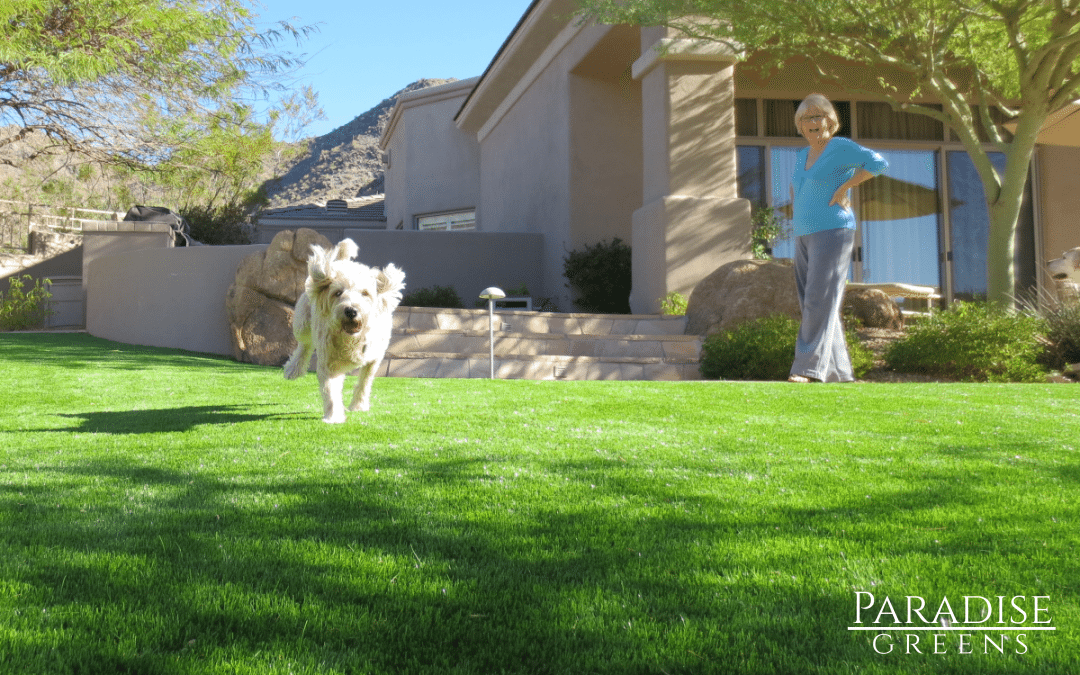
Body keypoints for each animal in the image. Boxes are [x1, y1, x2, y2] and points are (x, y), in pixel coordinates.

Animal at [282, 239, 406, 423]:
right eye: (338, 293)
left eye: (365, 293)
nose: (351, 311)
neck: (352, 338)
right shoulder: (328, 362)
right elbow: (330, 390)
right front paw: (333, 417)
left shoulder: (374, 357)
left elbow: (365, 381)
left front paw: (359, 405)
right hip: (303, 322)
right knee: (304, 345)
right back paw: (293, 369)